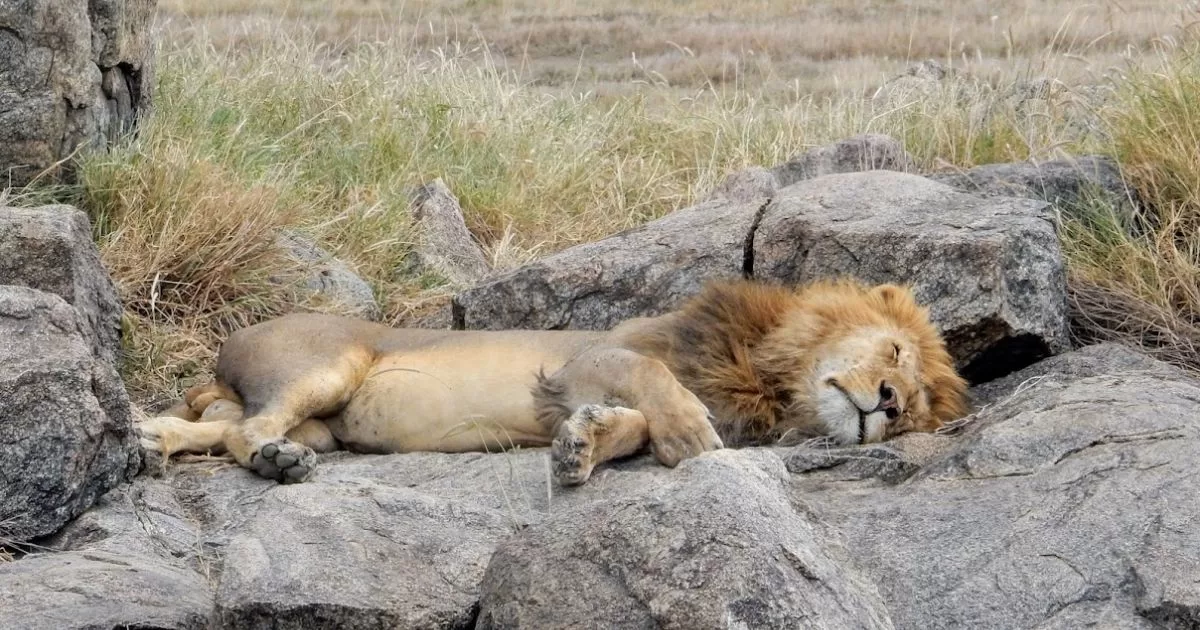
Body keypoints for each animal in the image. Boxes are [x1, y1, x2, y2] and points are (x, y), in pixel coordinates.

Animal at [136, 278, 968, 486]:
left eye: (919, 405)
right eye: (895, 353)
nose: (889, 404)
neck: (766, 379)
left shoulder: (576, 385)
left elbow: (628, 424)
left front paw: (582, 446)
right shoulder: (591, 356)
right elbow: (655, 381)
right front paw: (690, 435)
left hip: (315, 414)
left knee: (211, 426)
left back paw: (149, 439)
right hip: (327, 366)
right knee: (247, 430)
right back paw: (277, 462)